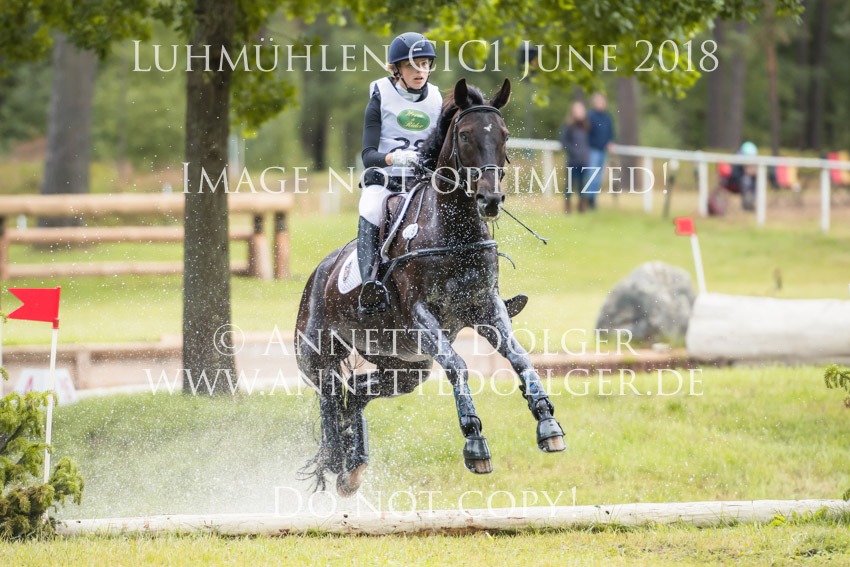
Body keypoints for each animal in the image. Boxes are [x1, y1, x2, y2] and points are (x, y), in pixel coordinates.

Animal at [295, 78, 565, 497]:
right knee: (330, 398)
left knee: (354, 394)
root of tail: (316, 278)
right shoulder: (422, 317)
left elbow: (520, 358)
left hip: (405, 369)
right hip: (319, 358)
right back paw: (337, 458)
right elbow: (458, 365)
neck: (452, 230)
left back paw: (353, 467)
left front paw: (548, 423)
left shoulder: (486, 308)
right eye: (466, 135)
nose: (490, 199)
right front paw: (475, 442)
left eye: (504, 135)